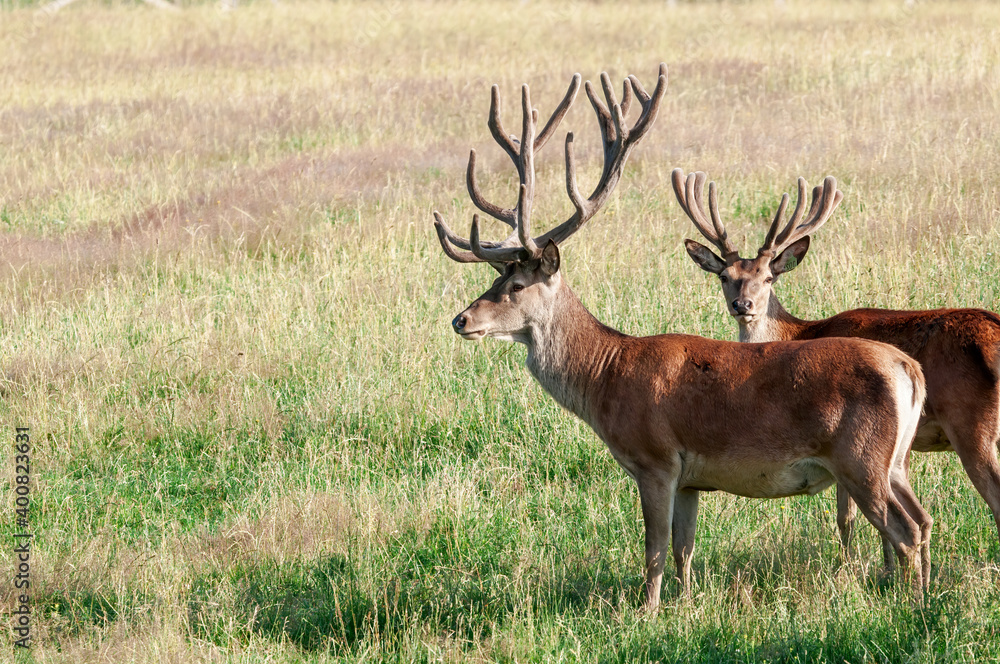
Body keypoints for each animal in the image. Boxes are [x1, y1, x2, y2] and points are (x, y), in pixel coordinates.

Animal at [434, 65, 933, 609]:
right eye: (495, 279)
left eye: (517, 286)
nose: (461, 320)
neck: (607, 375)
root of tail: (909, 369)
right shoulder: (692, 479)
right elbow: (683, 550)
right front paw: (686, 605)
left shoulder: (655, 459)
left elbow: (653, 548)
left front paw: (646, 611)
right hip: (895, 460)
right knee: (925, 519)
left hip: (861, 457)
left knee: (905, 530)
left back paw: (912, 605)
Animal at [673, 168, 1000, 572]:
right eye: (724, 276)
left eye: (768, 277)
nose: (742, 305)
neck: (798, 331)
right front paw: (886, 571)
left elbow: (847, 517)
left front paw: (855, 569)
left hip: (972, 425)